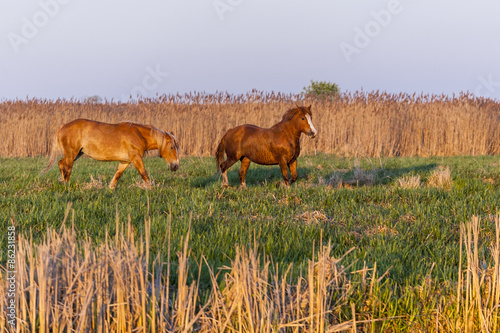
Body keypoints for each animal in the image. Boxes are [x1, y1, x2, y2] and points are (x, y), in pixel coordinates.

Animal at [42, 118, 180, 188]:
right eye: (172, 147)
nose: (176, 166)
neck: (139, 134)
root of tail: (63, 126)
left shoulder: (125, 161)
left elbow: (117, 176)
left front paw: (110, 189)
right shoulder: (136, 158)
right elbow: (144, 174)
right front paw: (151, 189)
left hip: (76, 154)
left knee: (61, 163)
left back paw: (63, 182)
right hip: (72, 154)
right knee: (67, 168)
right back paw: (66, 185)